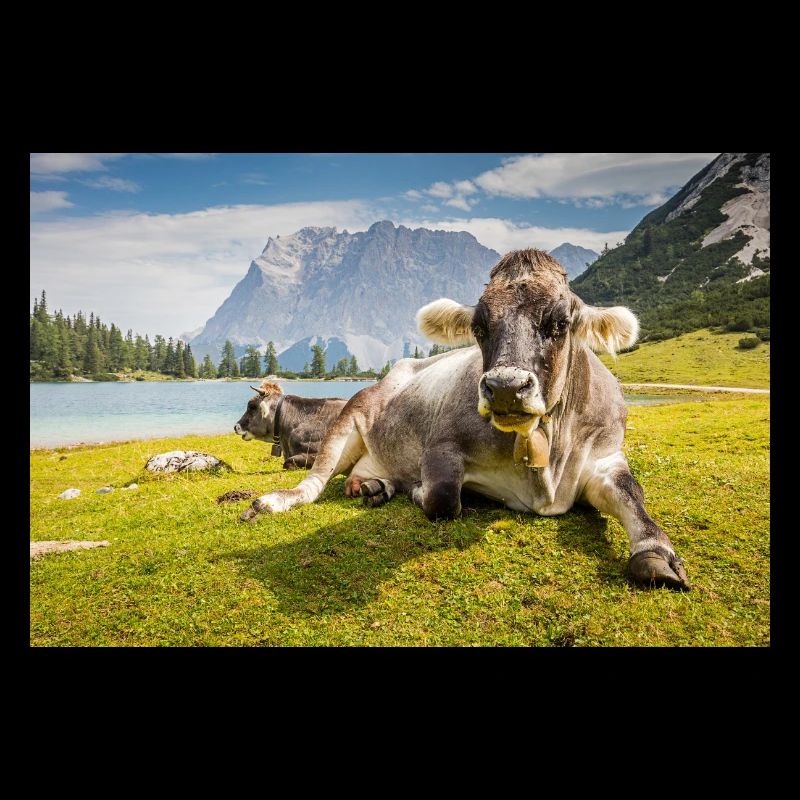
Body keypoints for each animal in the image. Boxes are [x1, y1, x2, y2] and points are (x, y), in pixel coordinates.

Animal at [240, 250, 690, 590]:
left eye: (560, 323)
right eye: (478, 326)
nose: (506, 386)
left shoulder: (607, 456)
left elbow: (633, 495)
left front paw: (656, 553)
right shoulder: (441, 447)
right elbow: (442, 500)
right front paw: (419, 491)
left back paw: (374, 487)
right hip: (351, 417)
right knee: (313, 484)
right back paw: (274, 501)